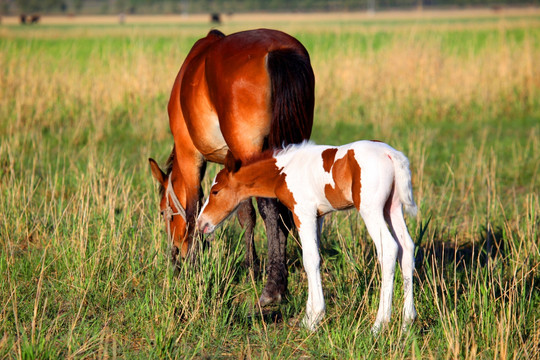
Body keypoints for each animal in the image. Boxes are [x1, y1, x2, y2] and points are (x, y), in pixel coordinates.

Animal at [149, 28, 316, 306]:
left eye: (163, 212)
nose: (175, 257)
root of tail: (278, 50)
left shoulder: (190, 155)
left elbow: (193, 210)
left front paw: (193, 266)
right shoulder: (234, 164)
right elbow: (245, 214)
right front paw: (252, 268)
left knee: (270, 207)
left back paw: (273, 288)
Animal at [197, 140, 418, 332]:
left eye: (215, 191)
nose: (201, 223)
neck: (283, 171)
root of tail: (390, 154)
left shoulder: (303, 212)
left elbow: (309, 260)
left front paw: (314, 318)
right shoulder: (318, 216)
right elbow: (315, 258)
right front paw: (308, 317)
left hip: (370, 209)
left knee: (389, 249)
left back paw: (379, 324)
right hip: (392, 208)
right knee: (406, 248)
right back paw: (407, 322)